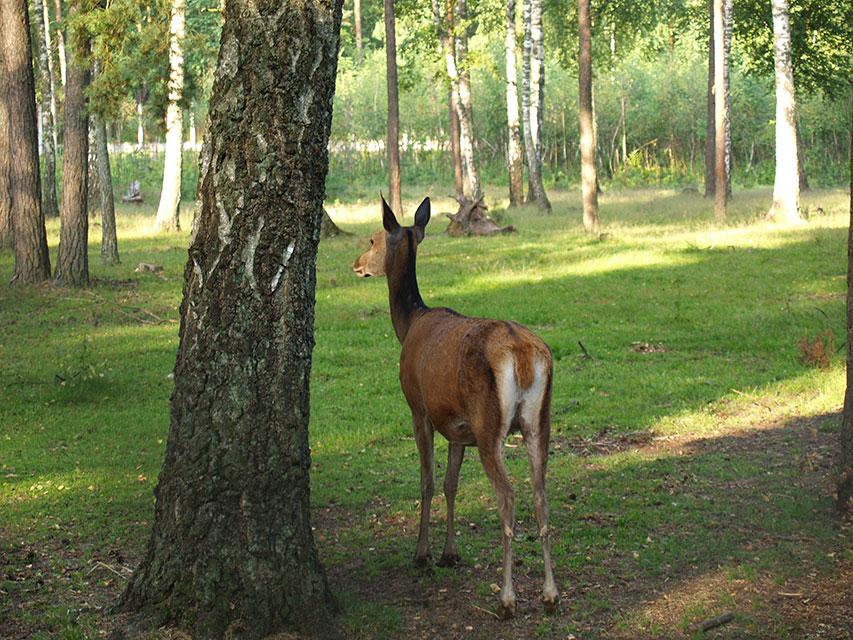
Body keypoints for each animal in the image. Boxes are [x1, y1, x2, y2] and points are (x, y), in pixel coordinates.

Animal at [350, 196, 556, 620]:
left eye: (374, 238)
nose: (357, 263)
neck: (408, 325)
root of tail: (523, 356)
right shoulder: (458, 428)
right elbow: (451, 484)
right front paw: (450, 553)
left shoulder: (420, 409)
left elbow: (428, 482)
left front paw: (423, 554)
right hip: (537, 421)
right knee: (541, 494)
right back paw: (550, 594)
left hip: (490, 423)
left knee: (508, 498)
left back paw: (507, 599)